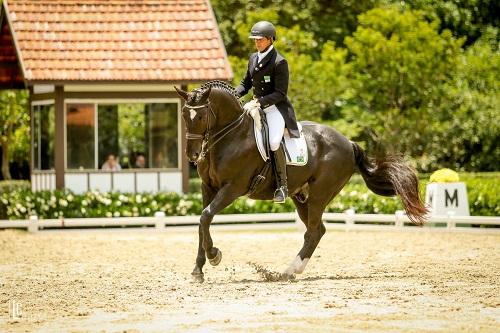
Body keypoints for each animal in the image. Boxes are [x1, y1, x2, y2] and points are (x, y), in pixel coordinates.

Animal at [174, 80, 428, 280]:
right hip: (300, 196)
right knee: (318, 230)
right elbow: (202, 221)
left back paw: (288, 271)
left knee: (313, 231)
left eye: (201, 116)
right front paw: (198, 270)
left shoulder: (232, 188)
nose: (193, 155)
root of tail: (348, 142)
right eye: (185, 115)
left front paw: (214, 255)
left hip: (320, 195)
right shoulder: (208, 187)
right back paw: (292, 270)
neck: (231, 135)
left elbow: (206, 216)